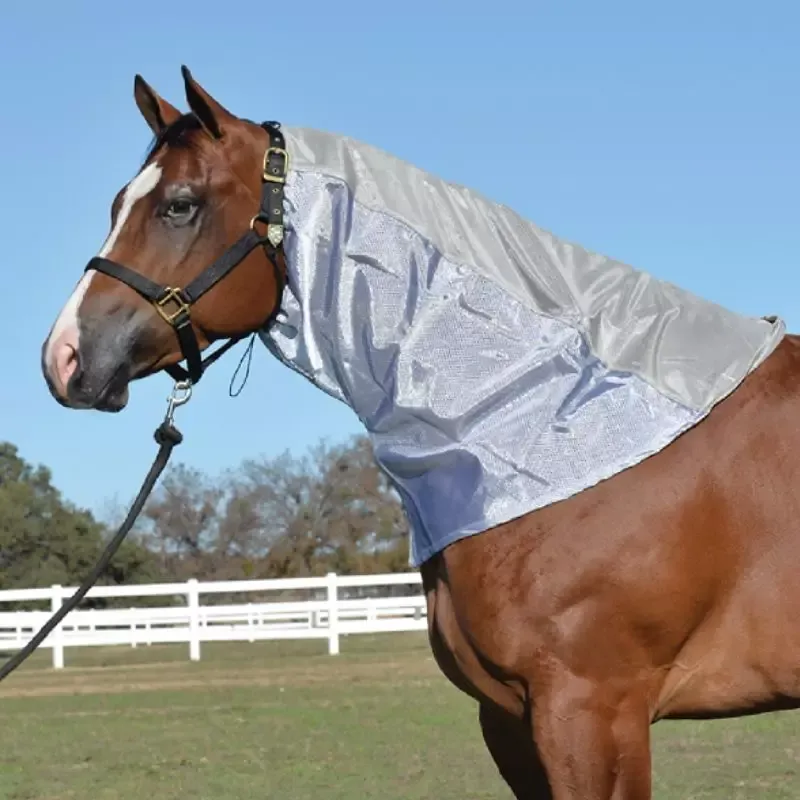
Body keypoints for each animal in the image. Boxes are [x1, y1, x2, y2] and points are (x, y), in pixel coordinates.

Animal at [40, 66, 800, 799]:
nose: (65, 356)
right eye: (119, 203)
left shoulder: (593, 711)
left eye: (179, 205)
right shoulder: (511, 719)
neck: (547, 420)